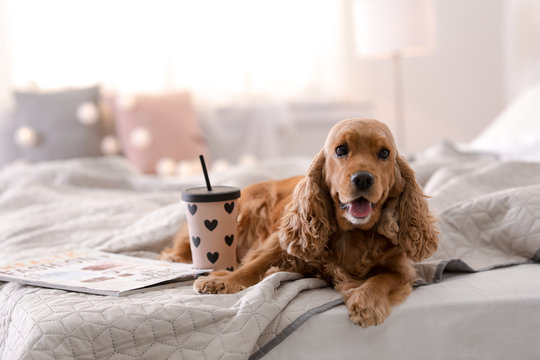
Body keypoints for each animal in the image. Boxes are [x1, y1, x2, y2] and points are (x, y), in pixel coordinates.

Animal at [158, 119, 436, 328]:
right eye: (341, 150)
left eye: (384, 153)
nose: (363, 179)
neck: (353, 233)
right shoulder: (282, 240)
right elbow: (255, 264)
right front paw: (221, 282)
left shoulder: (403, 269)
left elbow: (382, 279)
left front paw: (366, 303)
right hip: (249, 207)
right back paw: (176, 255)